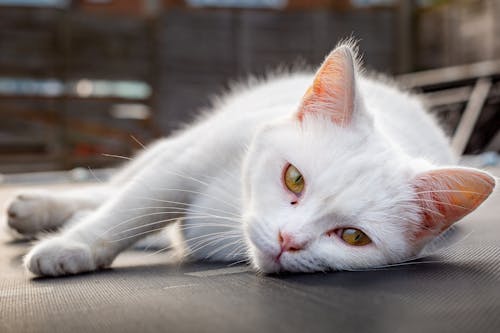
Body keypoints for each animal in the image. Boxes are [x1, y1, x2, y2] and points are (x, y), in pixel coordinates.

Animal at [4, 42, 496, 274]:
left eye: (354, 237)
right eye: (294, 179)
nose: (287, 239)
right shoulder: (185, 164)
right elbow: (129, 211)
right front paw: (72, 248)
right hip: (174, 145)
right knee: (112, 189)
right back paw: (39, 209)